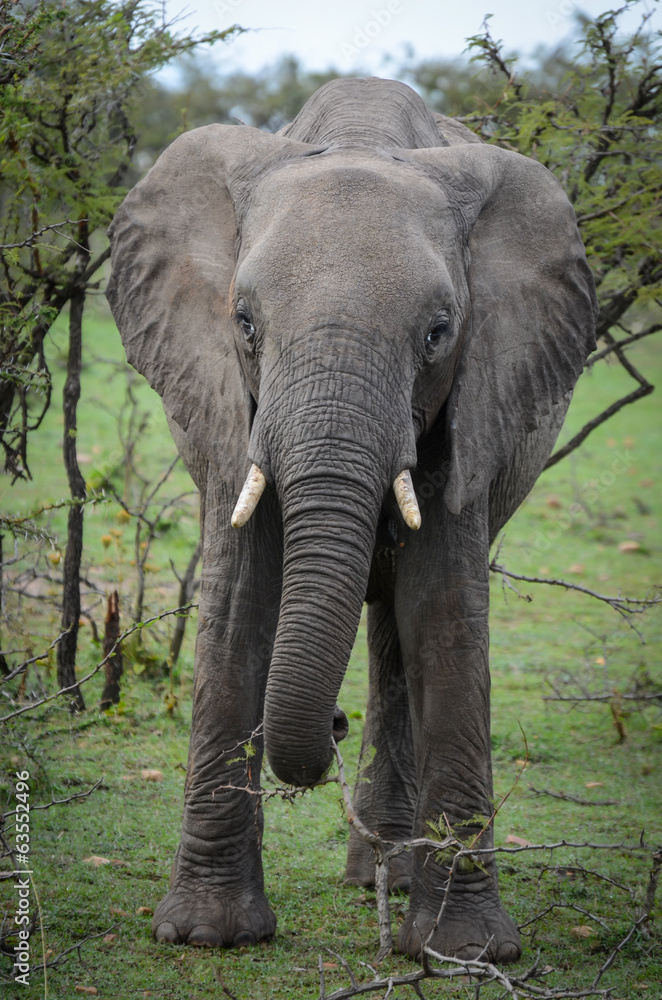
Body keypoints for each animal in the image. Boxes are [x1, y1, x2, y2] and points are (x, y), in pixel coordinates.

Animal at [106, 76, 596, 963]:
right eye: (244, 324)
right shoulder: (230, 411)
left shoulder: (472, 405)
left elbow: (444, 616)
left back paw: (388, 881)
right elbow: (237, 607)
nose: (330, 725)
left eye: (438, 333)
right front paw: (206, 936)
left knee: (399, 637)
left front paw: (464, 954)